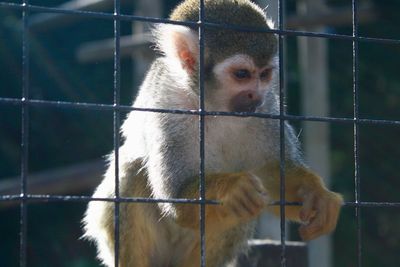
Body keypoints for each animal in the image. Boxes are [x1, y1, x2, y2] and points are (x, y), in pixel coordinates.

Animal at [82, 0, 344, 267]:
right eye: (242, 74)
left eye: (265, 74)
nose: (255, 96)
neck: (213, 105)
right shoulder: (167, 104)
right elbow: (176, 197)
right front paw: (231, 189)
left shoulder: (268, 105)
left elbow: (271, 176)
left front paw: (315, 193)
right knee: (133, 170)